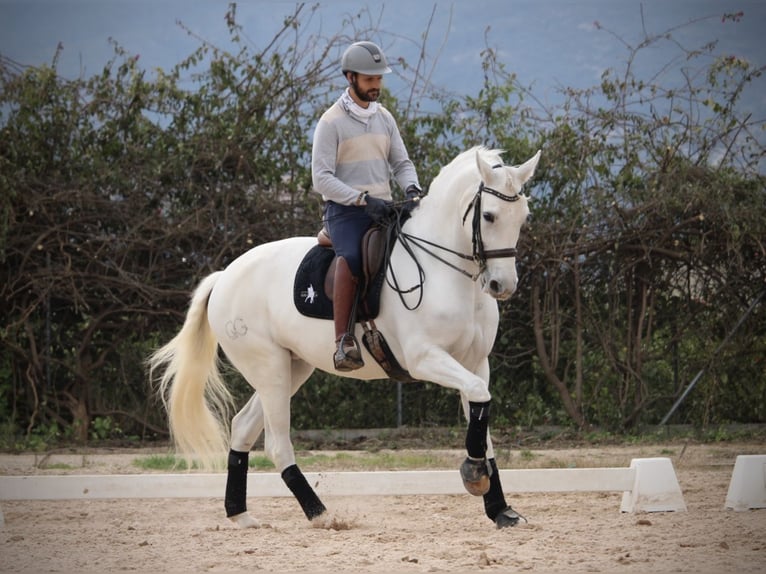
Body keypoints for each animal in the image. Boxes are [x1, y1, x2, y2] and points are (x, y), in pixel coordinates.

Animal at [148, 146, 541, 529]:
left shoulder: (475, 363)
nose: (502, 286)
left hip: (290, 368)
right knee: (276, 443)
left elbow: (482, 413)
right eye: (489, 216)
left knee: (243, 427)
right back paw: (320, 514)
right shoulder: (425, 358)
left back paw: (240, 514)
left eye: (523, 217)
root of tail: (225, 275)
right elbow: (478, 399)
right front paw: (474, 473)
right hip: (268, 368)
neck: (446, 271)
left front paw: (499, 508)